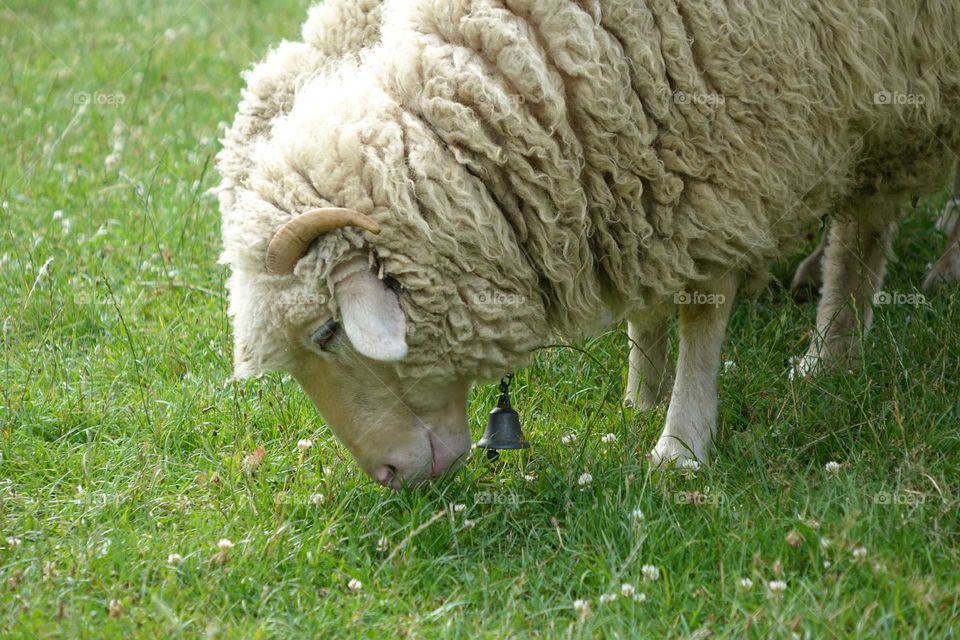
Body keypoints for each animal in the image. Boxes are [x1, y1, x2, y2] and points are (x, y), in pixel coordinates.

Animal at [220, 0, 960, 486]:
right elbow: (649, 302)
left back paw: (846, 338)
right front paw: (641, 395)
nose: (390, 475)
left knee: (865, 222)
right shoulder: (645, 168)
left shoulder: (728, 142)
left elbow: (703, 309)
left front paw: (681, 443)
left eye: (325, 332)